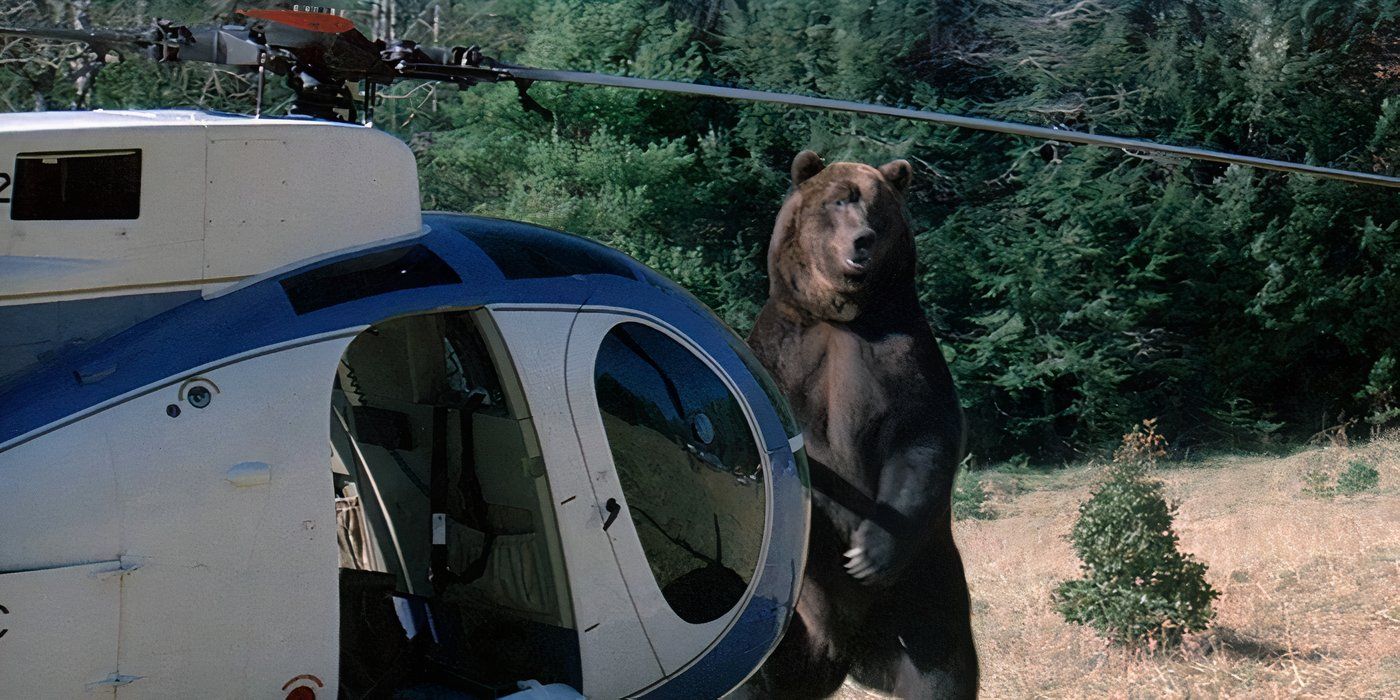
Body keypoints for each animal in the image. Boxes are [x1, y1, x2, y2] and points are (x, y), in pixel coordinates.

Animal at [744, 151, 978, 699]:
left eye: (877, 209)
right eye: (838, 201)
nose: (862, 240)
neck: (842, 315)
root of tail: (849, 654)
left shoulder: (901, 353)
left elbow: (923, 439)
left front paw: (867, 554)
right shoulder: (782, 353)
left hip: (928, 588)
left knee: (941, 667)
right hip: (785, 623)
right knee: (758, 675)